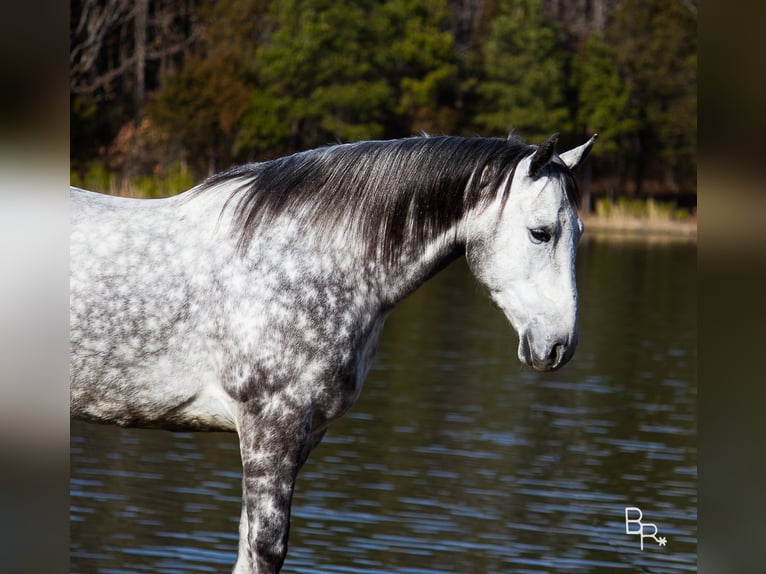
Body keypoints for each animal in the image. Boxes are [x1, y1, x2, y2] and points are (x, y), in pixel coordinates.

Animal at [70, 134, 600, 572]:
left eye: (578, 232)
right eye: (540, 232)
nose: (559, 346)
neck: (306, 260)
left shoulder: (303, 436)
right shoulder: (272, 426)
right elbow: (265, 549)